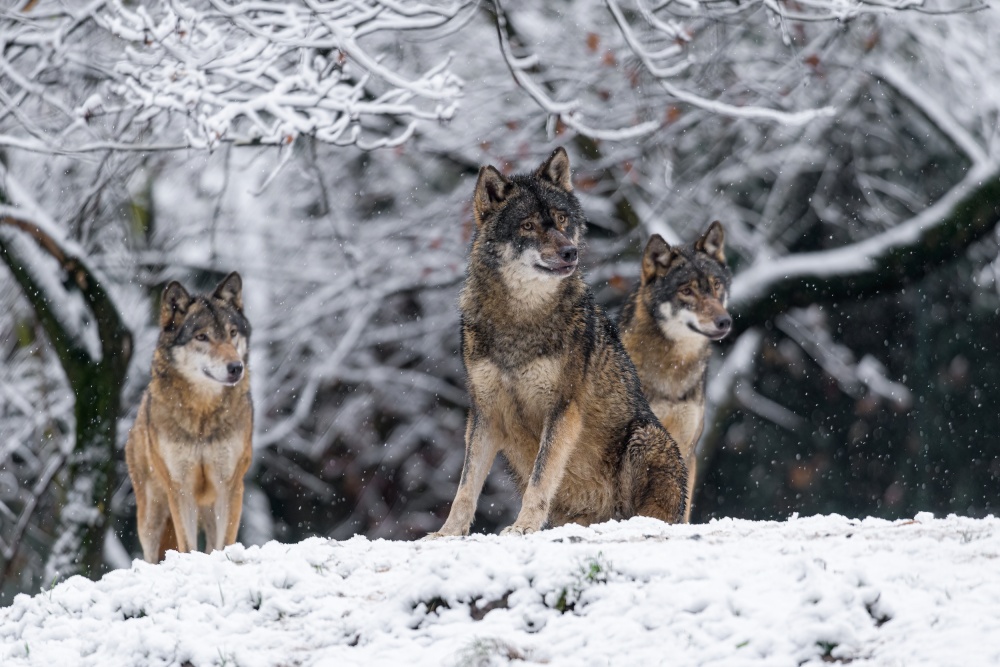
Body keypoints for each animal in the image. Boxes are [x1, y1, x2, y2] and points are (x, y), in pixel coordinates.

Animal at [124, 272, 254, 564]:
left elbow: (225, 541)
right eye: (202, 337)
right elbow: (187, 543)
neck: (202, 414)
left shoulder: (229, 484)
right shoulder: (180, 488)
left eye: (232, 333)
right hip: (151, 518)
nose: (236, 367)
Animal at [426, 147, 692, 536]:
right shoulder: (484, 414)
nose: (570, 252)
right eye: (528, 225)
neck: (520, 319)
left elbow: (540, 479)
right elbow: (465, 487)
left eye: (562, 219)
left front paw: (522, 527)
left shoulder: (562, 409)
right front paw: (447, 533)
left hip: (645, 437)